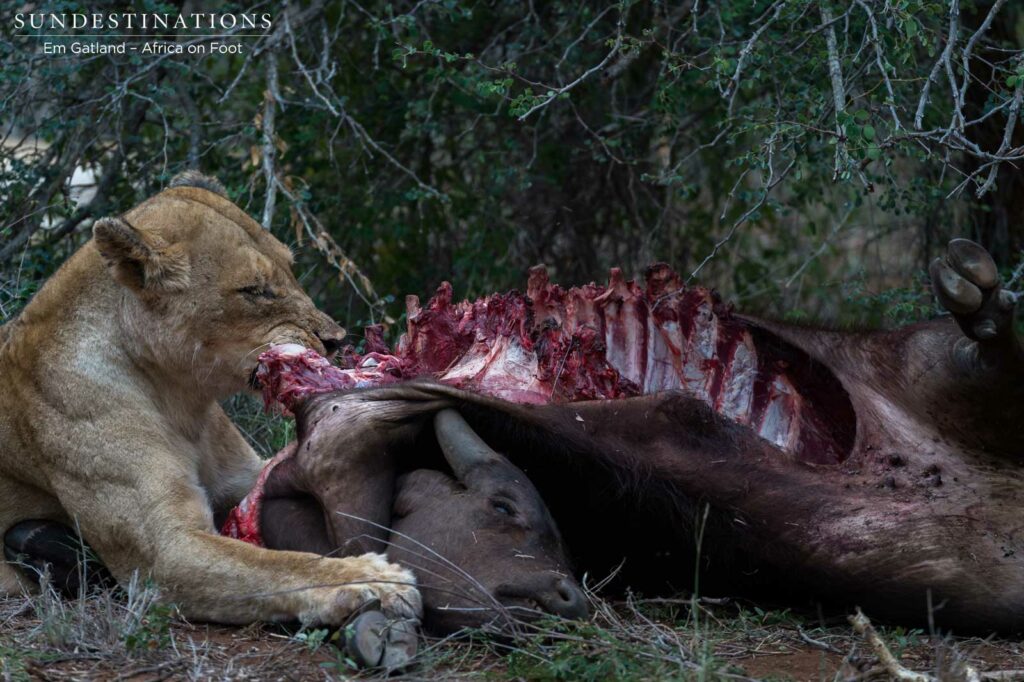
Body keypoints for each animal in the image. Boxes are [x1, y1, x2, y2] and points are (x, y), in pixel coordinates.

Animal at [0, 172, 421, 633]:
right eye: (254, 290)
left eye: (291, 269)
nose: (336, 340)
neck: (182, 400)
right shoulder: (164, 556)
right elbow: (278, 568)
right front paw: (374, 580)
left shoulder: (250, 480)